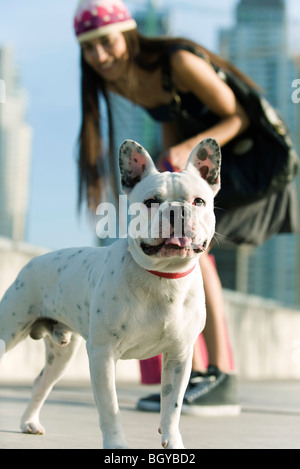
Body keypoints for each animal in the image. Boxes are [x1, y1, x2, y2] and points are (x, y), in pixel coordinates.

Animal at [0, 137, 220, 448]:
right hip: (8, 332)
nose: (176, 210)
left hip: (61, 356)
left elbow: (172, 407)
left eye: (198, 201)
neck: (163, 276)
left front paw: (173, 443)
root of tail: (33, 261)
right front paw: (116, 445)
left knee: (41, 382)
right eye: (151, 202)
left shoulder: (179, 357)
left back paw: (29, 422)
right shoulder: (102, 355)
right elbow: (110, 408)